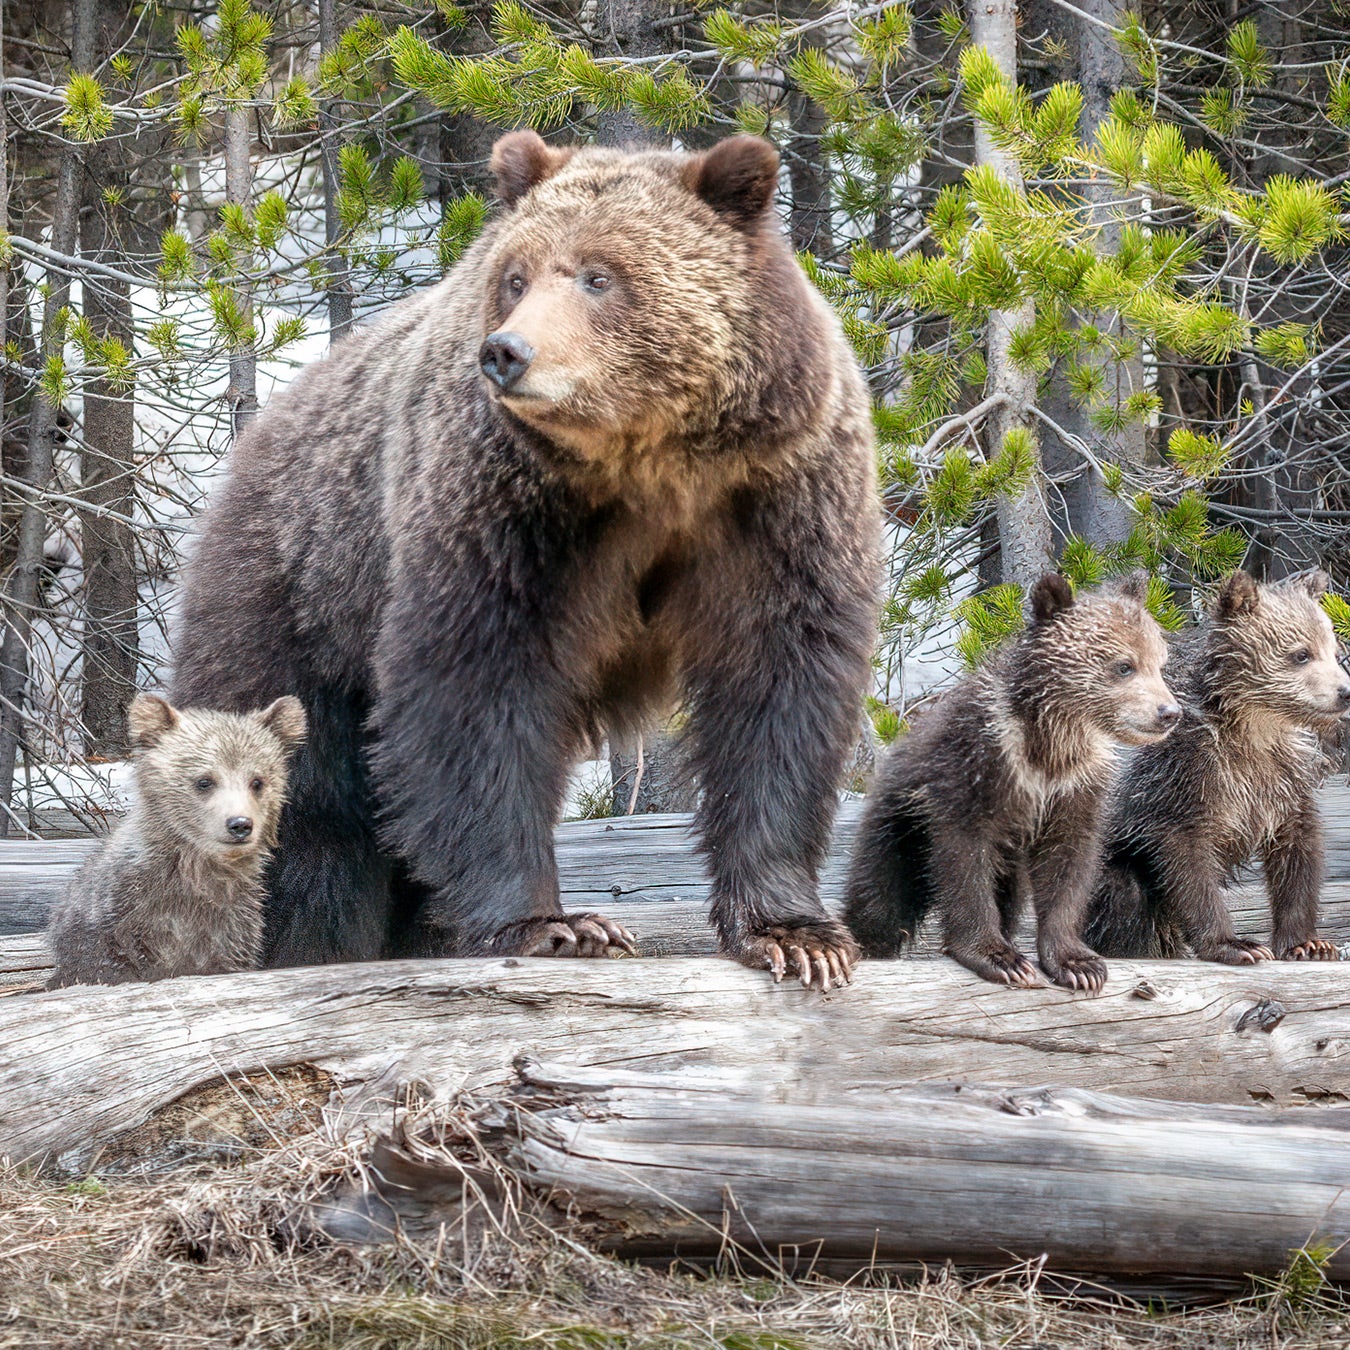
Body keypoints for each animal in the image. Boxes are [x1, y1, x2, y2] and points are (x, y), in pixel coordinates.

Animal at [168, 131, 880, 988]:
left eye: (600, 274)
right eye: (516, 275)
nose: (507, 352)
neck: (650, 463)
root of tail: (252, 446)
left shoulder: (772, 502)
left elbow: (779, 690)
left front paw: (796, 935)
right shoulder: (509, 514)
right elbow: (479, 693)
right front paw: (557, 924)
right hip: (300, 603)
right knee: (305, 804)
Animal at [842, 575, 1182, 988]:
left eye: (1159, 663)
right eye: (1124, 666)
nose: (1169, 712)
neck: (1047, 749)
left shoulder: (1075, 789)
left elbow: (1068, 865)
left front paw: (1079, 964)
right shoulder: (971, 771)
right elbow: (965, 862)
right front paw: (999, 956)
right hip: (900, 823)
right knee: (882, 892)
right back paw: (867, 941)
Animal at [1085, 567, 1350, 961]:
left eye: (1333, 651)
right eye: (1301, 654)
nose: (1344, 692)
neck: (1251, 729)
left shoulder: (1282, 777)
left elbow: (1297, 850)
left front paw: (1308, 943)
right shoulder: (1180, 775)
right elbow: (1187, 858)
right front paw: (1236, 945)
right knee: (1120, 895)